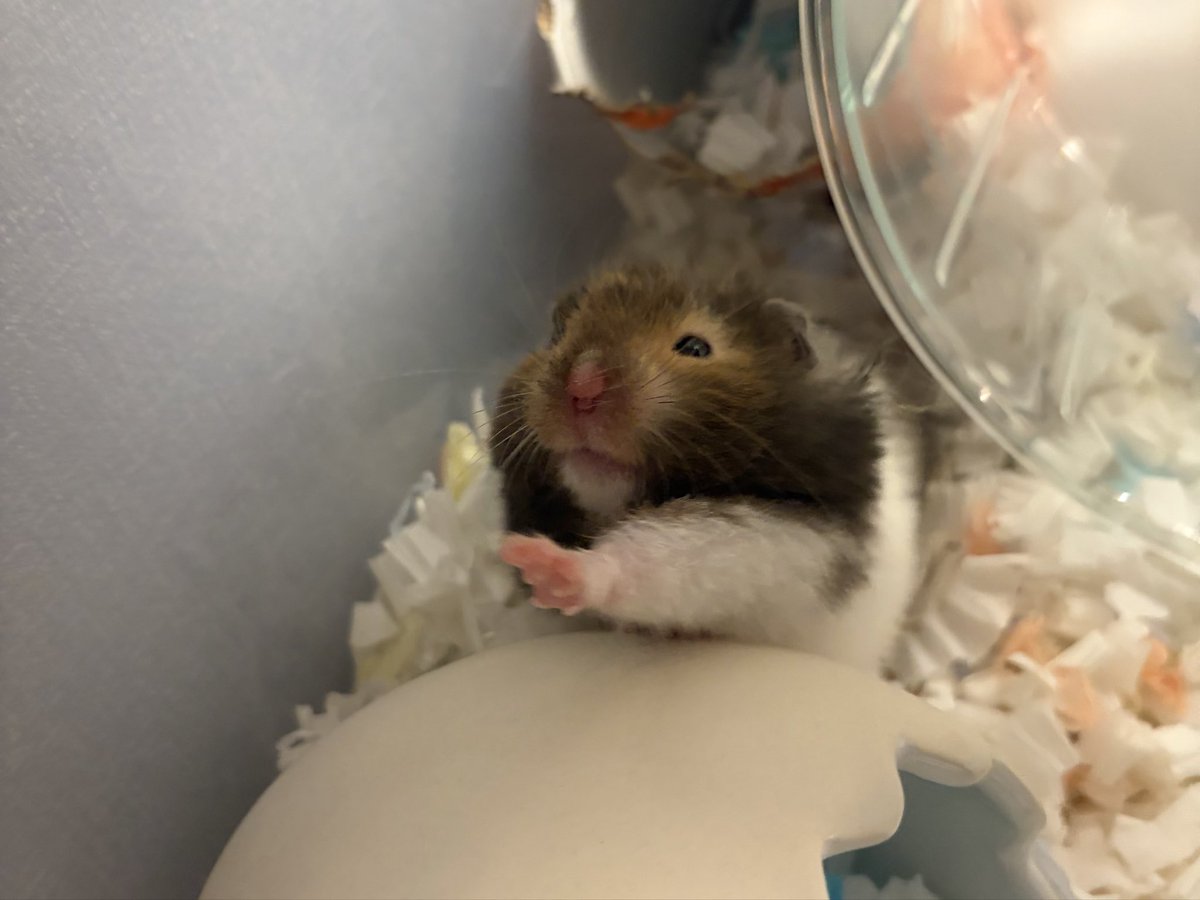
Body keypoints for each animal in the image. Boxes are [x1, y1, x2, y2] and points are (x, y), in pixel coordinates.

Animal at [489, 264, 923, 672]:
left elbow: (666, 552)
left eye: (696, 347)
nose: (581, 389)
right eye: (558, 336)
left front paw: (548, 568)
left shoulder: (790, 534)